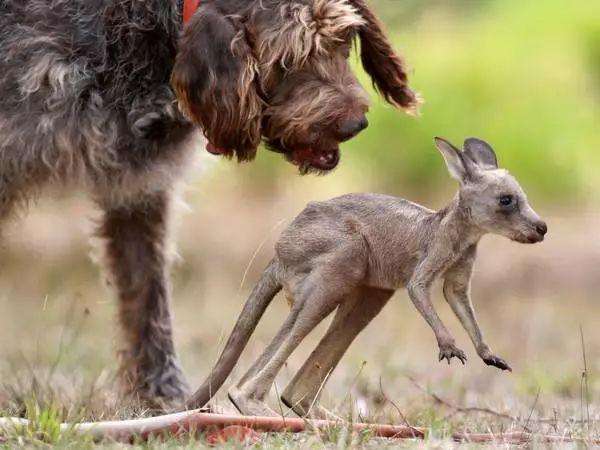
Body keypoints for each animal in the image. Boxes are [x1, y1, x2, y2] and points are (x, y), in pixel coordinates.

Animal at [0, 0, 418, 408]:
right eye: (285, 62)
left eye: (342, 41)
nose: (355, 125)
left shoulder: (138, 191)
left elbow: (147, 298)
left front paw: (161, 400)